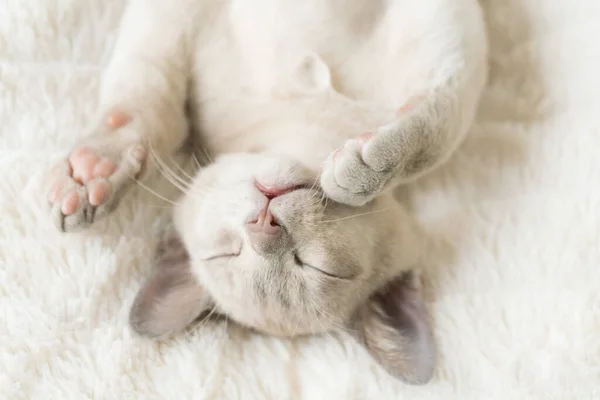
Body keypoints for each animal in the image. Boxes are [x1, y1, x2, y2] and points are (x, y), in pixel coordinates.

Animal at [47, 0, 488, 384]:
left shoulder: (449, 34)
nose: (264, 221)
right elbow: (142, 104)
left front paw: (365, 165)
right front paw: (92, 172)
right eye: (228, 251)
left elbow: (437, 129)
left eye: (316, 267)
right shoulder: (176, 22)